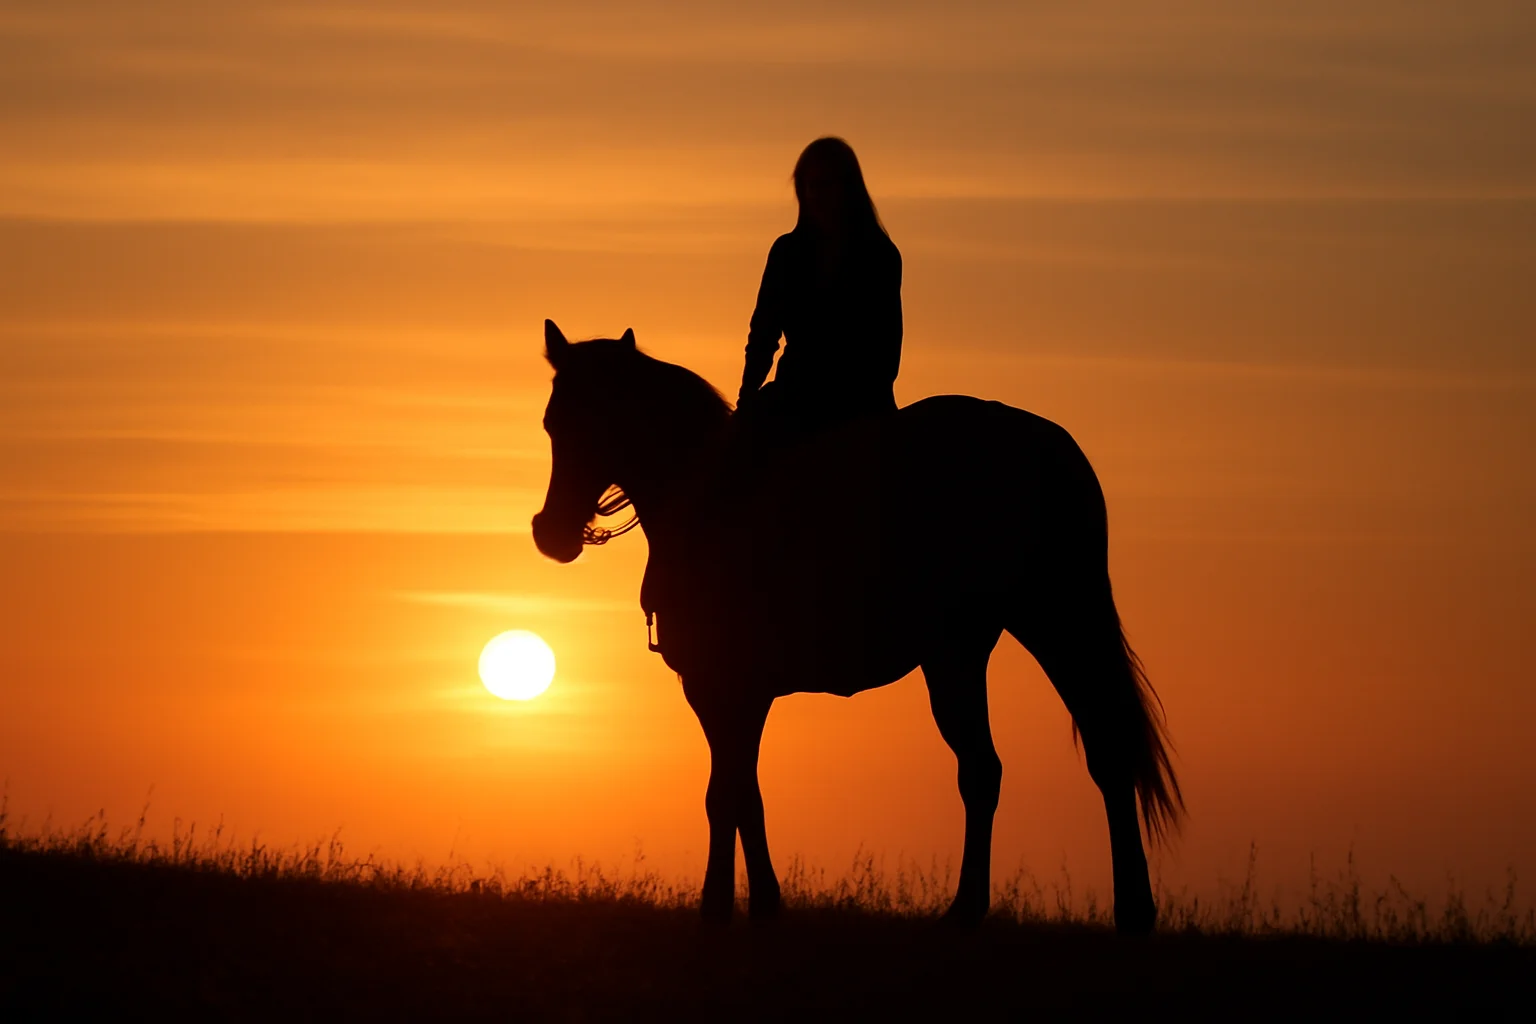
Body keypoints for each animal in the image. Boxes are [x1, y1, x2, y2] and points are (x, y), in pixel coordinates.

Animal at [530, 320, 1182, 935]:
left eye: (597, 421)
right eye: (552, 424)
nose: (551, 533)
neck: (705, 499)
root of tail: (1050, 447)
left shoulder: (726, 685)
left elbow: (727, 793)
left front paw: (721, 908)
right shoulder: (729, 692)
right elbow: (744, 793)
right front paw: (761, 905)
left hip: (1037, 623)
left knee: (1054, 757)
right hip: (988, 641)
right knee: (1030, 760)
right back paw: (1042, 912)